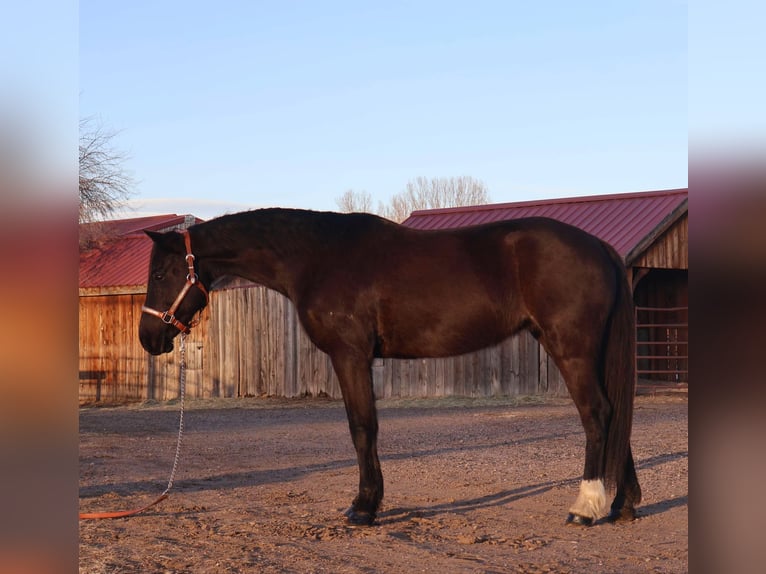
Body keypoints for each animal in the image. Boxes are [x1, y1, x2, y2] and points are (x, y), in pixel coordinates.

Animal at [139, 208, 641, 526]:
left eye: (160, 274)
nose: (149, 339)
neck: (317, 258)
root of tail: (599, 247)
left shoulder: (350, 356)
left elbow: (362, 427)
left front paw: (364, 507)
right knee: (616, 414)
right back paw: (622, 503)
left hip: (571, 348)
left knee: (597, 413)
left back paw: (586, 506)